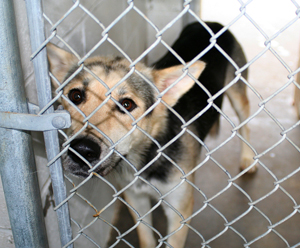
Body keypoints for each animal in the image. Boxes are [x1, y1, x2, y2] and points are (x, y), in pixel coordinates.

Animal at [47, 21, 253, 248]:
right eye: (75, 96)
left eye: (127, 104)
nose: (82, 150)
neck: (145, 157)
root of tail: (212, 23)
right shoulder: (136, 200)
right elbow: (146, 236)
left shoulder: (179, 211)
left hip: (238, 94)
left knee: (245, 125)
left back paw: (248, 159)